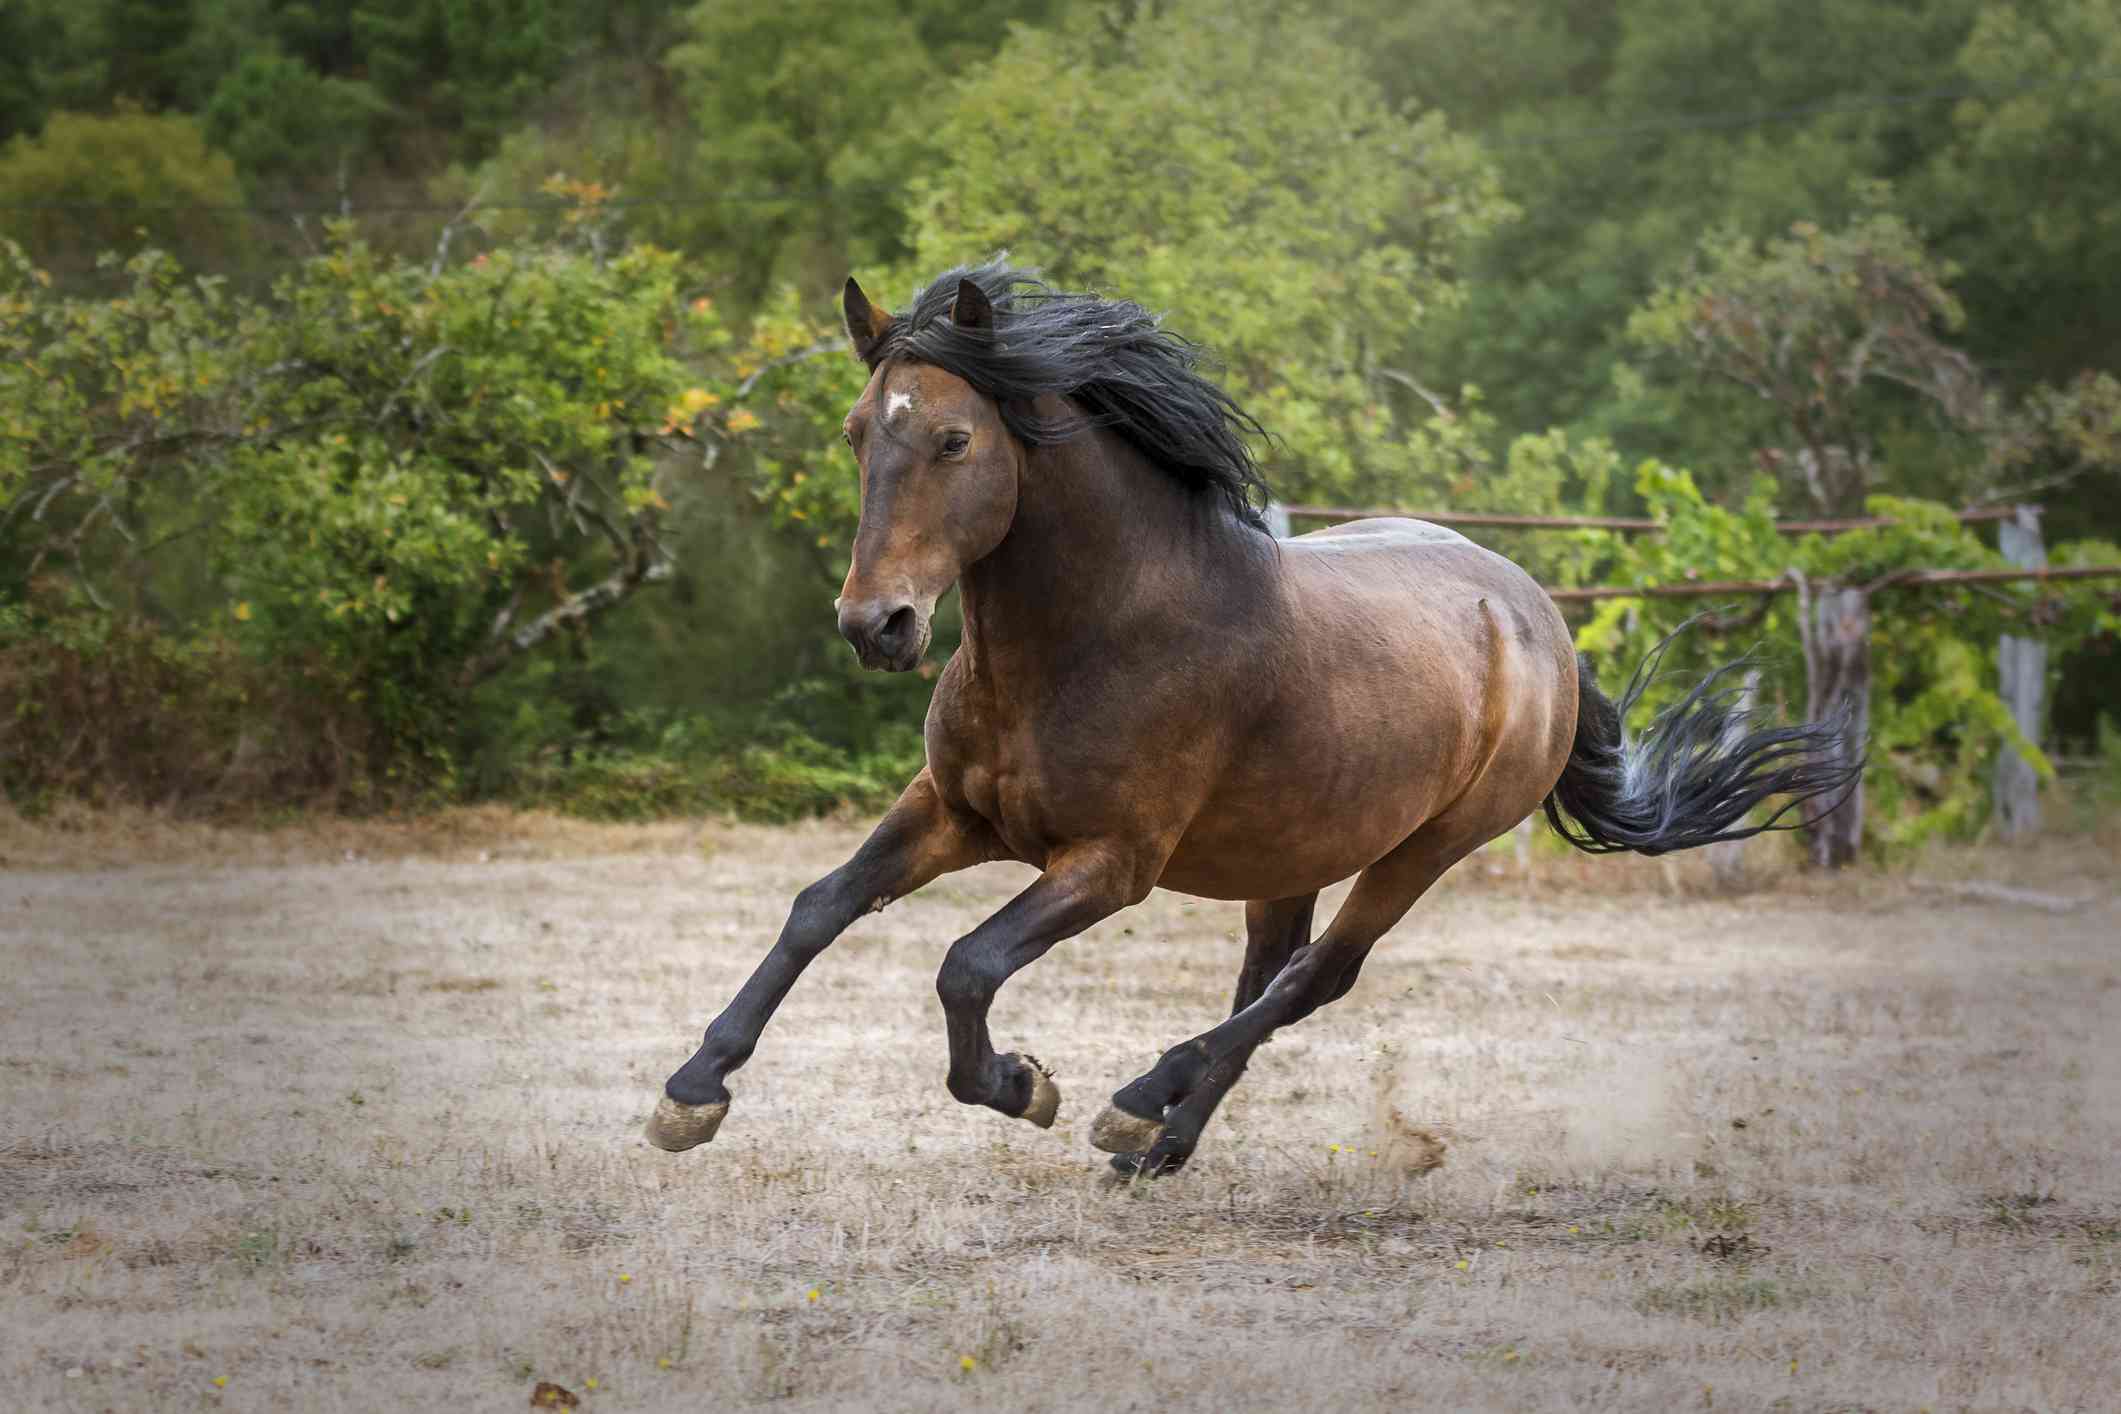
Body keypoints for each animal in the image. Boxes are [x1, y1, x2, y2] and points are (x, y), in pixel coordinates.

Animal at [644, 259, 1857, 1178]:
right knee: (1273, 973)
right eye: (858, 433)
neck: (1093, 633)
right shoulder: (952, 811)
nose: (877, 624)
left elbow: (967, 965)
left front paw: (1024, 1084)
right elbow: (818, 907)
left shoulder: (1110, 862)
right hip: (1296, 844)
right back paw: (1159, 1146)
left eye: (954, 440)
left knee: (1315, 978)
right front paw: (692, 1092)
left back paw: (1139, 1100)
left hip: (1428, 848)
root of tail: (1537, 617)